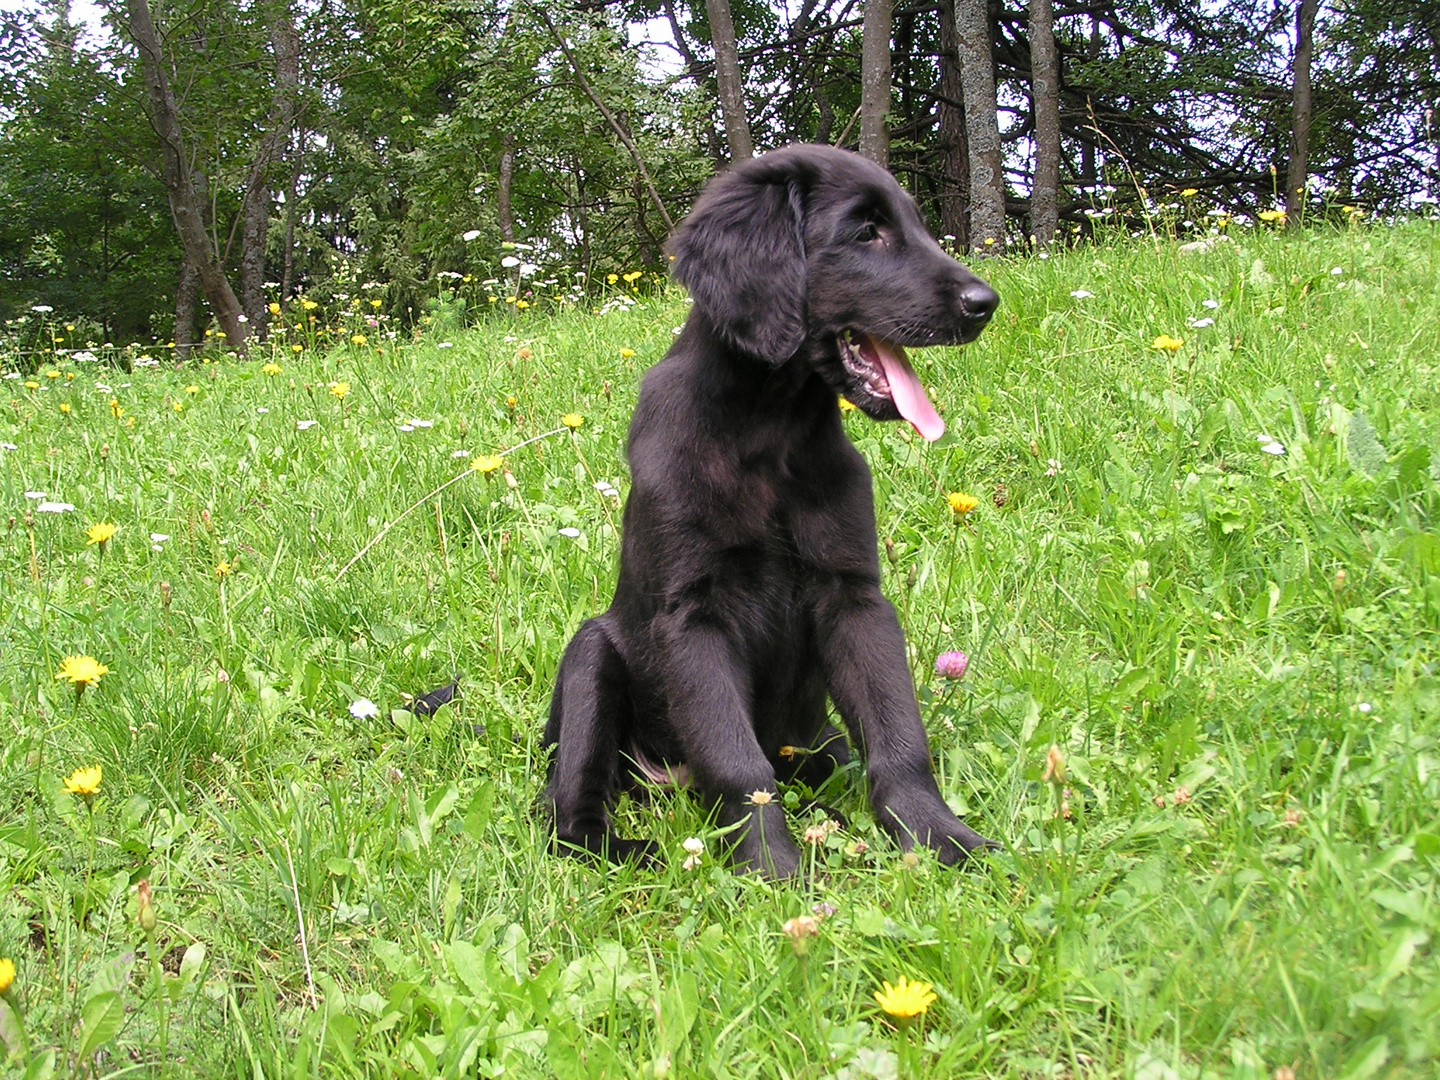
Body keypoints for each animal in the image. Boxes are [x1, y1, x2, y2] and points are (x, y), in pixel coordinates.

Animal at [541, 144, 1002, 875]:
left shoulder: (854, 598)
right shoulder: (694, 616)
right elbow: (739, 766)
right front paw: (772, 868)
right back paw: (629, 849)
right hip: (590, 658)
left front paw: (940, 837)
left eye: (917, 225)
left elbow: (899, 737)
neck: (769, 437)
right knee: (568, 810)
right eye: (866, 231)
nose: (986, 303)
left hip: (809, 736)